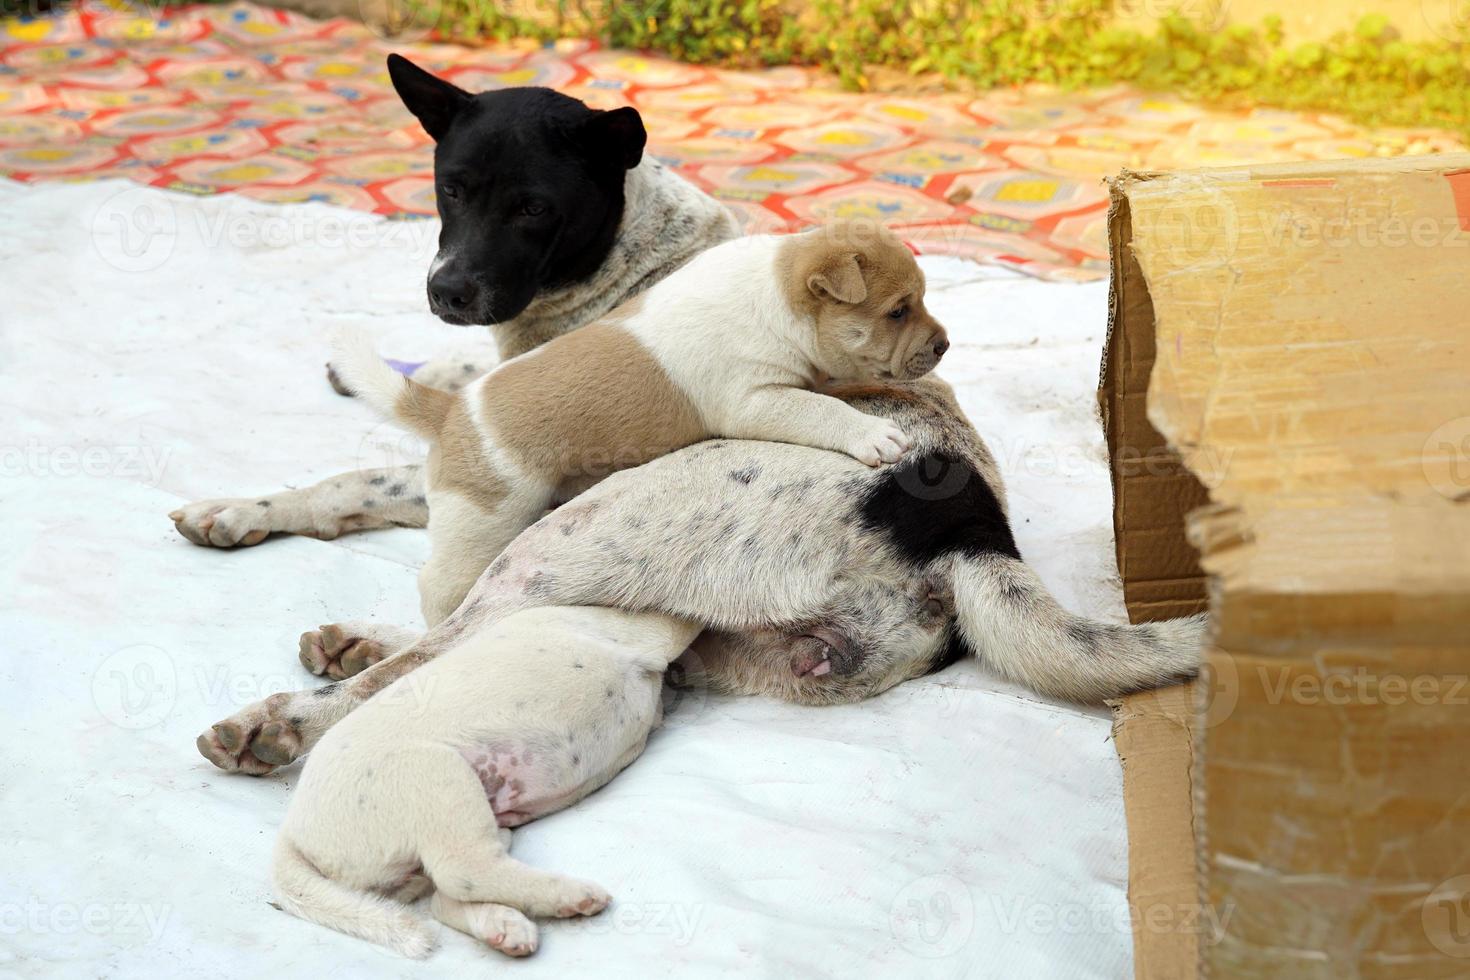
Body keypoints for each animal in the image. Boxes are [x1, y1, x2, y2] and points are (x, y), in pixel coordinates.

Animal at [274, 605, 699, 957]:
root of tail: (293, 835)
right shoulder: (655, 627)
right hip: (439, 777)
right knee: (465, 872)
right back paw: (569, 896)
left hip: (458, 834)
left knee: (443, 896)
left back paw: (505, 926)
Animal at [336, 218, 952, 625]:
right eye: (898, 310)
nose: (944, 344)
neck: (780, 294)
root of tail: (451, 410)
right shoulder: (756, 398)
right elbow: (821, 408)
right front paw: (874, 434)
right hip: (479, 522)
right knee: (440, 582)